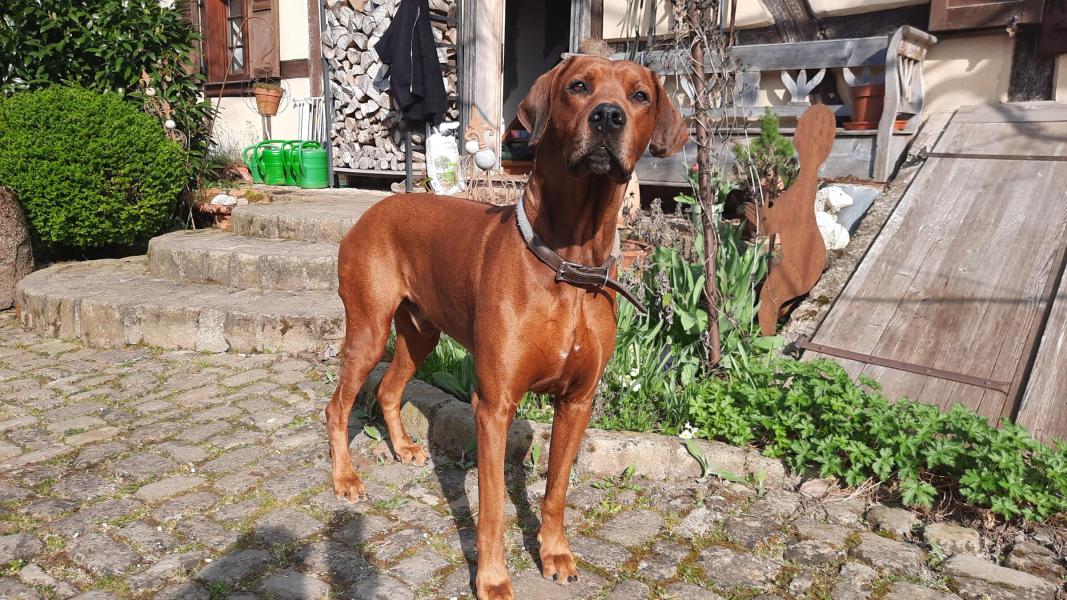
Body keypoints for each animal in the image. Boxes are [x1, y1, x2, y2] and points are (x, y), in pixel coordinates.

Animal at [326, 55, 688, 600]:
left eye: (640, 95)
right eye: (578, 86)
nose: (608, 117)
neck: (568, 265)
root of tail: (375, 208)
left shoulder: (578, 402)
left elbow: (557, 488)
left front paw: (555, 553)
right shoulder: (494, 406)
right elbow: (493, 505)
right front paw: (493, 578)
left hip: (422, 333)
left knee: (389, 389)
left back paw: (405, 447)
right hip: (368, 331)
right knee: (338, 406)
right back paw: (345, 479)